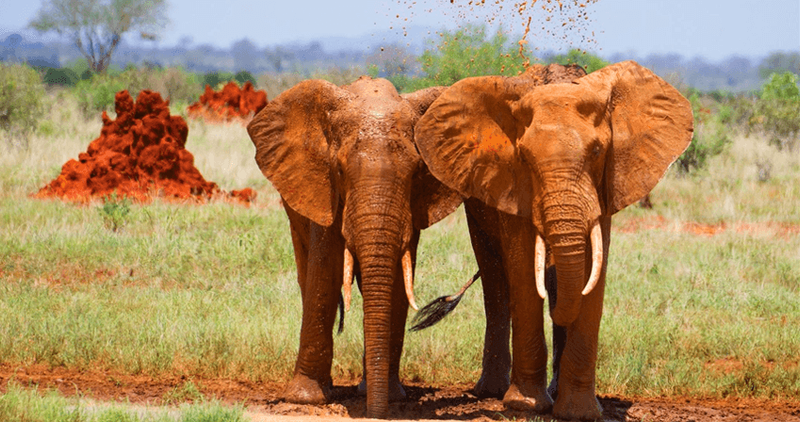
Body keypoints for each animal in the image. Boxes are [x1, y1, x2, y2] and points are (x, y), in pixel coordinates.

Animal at [246, 76, 466, 418]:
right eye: (338, 170)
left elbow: (396, 281)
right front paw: (306, 399)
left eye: (418, 172)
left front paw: (392, 397)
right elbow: (325, 273)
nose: (376, 413)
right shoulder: (323, 189)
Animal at [415, 61, 694, 420]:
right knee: (495, 280)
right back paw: (491, 391)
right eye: (523, 157)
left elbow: (592, 274)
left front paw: (580, 412)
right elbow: (523, 272)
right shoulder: (511, 185)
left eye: (598, 152)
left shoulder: (605, 187)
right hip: (476, 207)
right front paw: (524, 406)